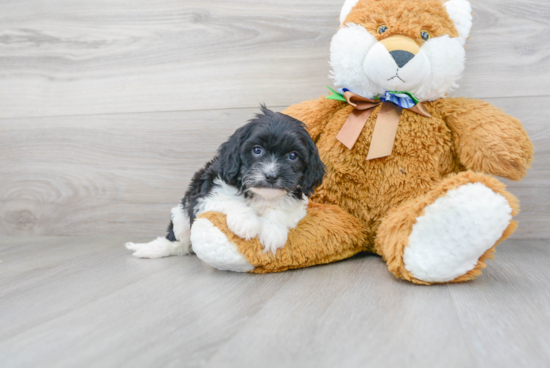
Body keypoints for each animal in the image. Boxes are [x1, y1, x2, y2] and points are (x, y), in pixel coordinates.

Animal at [127, 105, 326, 258]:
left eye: (293, 156)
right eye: (257, 150)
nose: (271, 176)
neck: (260, 195)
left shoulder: (297, 207)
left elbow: (280, 211)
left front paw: (272, 232)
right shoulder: (205, 198)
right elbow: (229, 200)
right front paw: (246, 222)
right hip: (181, 215)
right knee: (181, 241)